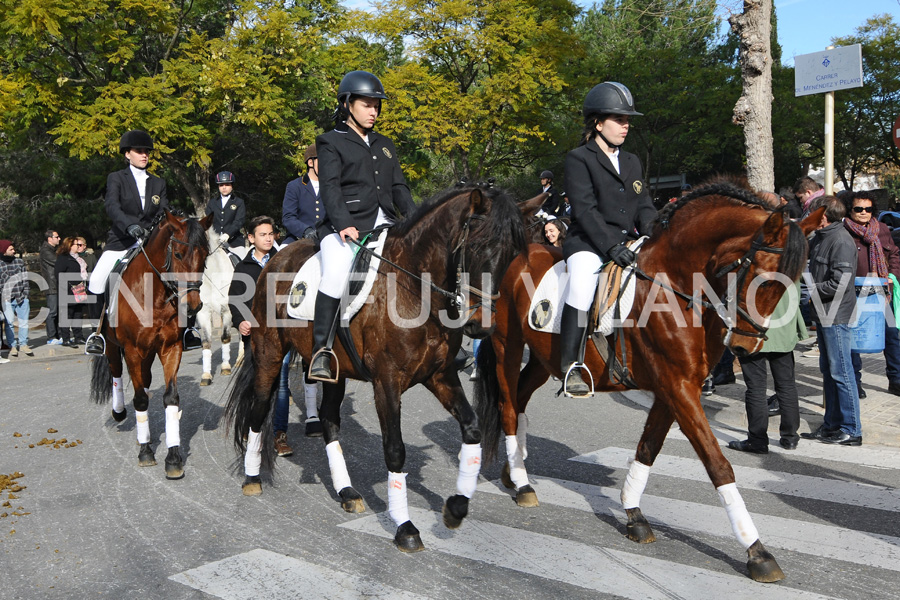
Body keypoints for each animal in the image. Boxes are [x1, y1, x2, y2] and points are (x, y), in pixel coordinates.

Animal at [90, 210, 214, 478]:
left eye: (205, 255)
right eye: (177, 254)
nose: (192, 305)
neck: (154, 294)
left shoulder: (171, 348)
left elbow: (170, 398)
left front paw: (174, 458)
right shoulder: (132, 350)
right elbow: (139, 399)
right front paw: (146, 452)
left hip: (147, 353)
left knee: (144, 380)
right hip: (115, 347)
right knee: (117, 374)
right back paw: (120, 413)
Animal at [198, 230, 244, 384]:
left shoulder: (227, 311)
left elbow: (225, 337)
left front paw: (225, 367)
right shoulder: (203, 313)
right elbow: (206, 342)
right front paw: (206, 375)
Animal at [225, 185, 532, 552]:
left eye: (512, 255)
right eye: (475, 247)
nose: (481, 325)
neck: (414, 288)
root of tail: (274, 257)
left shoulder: (439, 376)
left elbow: (472, 430)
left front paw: (456, 507)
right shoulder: (387, 381)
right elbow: (395, 450)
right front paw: (405, 527)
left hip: (336, 371)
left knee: (330, 420)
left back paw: (347, 492)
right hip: (270, 354)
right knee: (258, 410)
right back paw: (252, 477)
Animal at [474, 185, 828, 584]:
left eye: (795, 283)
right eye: (764, 278)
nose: (744, 348)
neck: (677, 284)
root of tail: (517, 254)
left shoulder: (674, 388)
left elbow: (648, 448)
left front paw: (634, 515)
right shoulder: (677, 386)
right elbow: (717, 463)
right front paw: (757, 551)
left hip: (541, 358)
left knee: (518, 402)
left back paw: (513, 469)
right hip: (508, 347)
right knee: (507, 407)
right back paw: (522, 484)